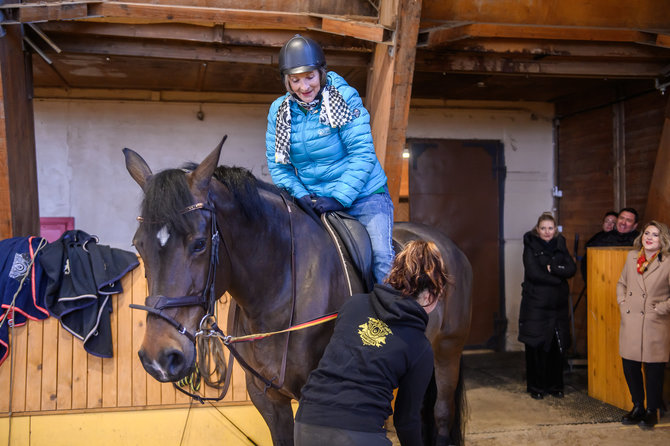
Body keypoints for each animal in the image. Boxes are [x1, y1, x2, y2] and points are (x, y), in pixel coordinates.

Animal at [124, 140, 472, 446]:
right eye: (138, 244)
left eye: (198, 243)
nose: (159, 357)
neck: (279, 292)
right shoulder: (268, 399)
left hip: (447, 353)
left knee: (441, 416)